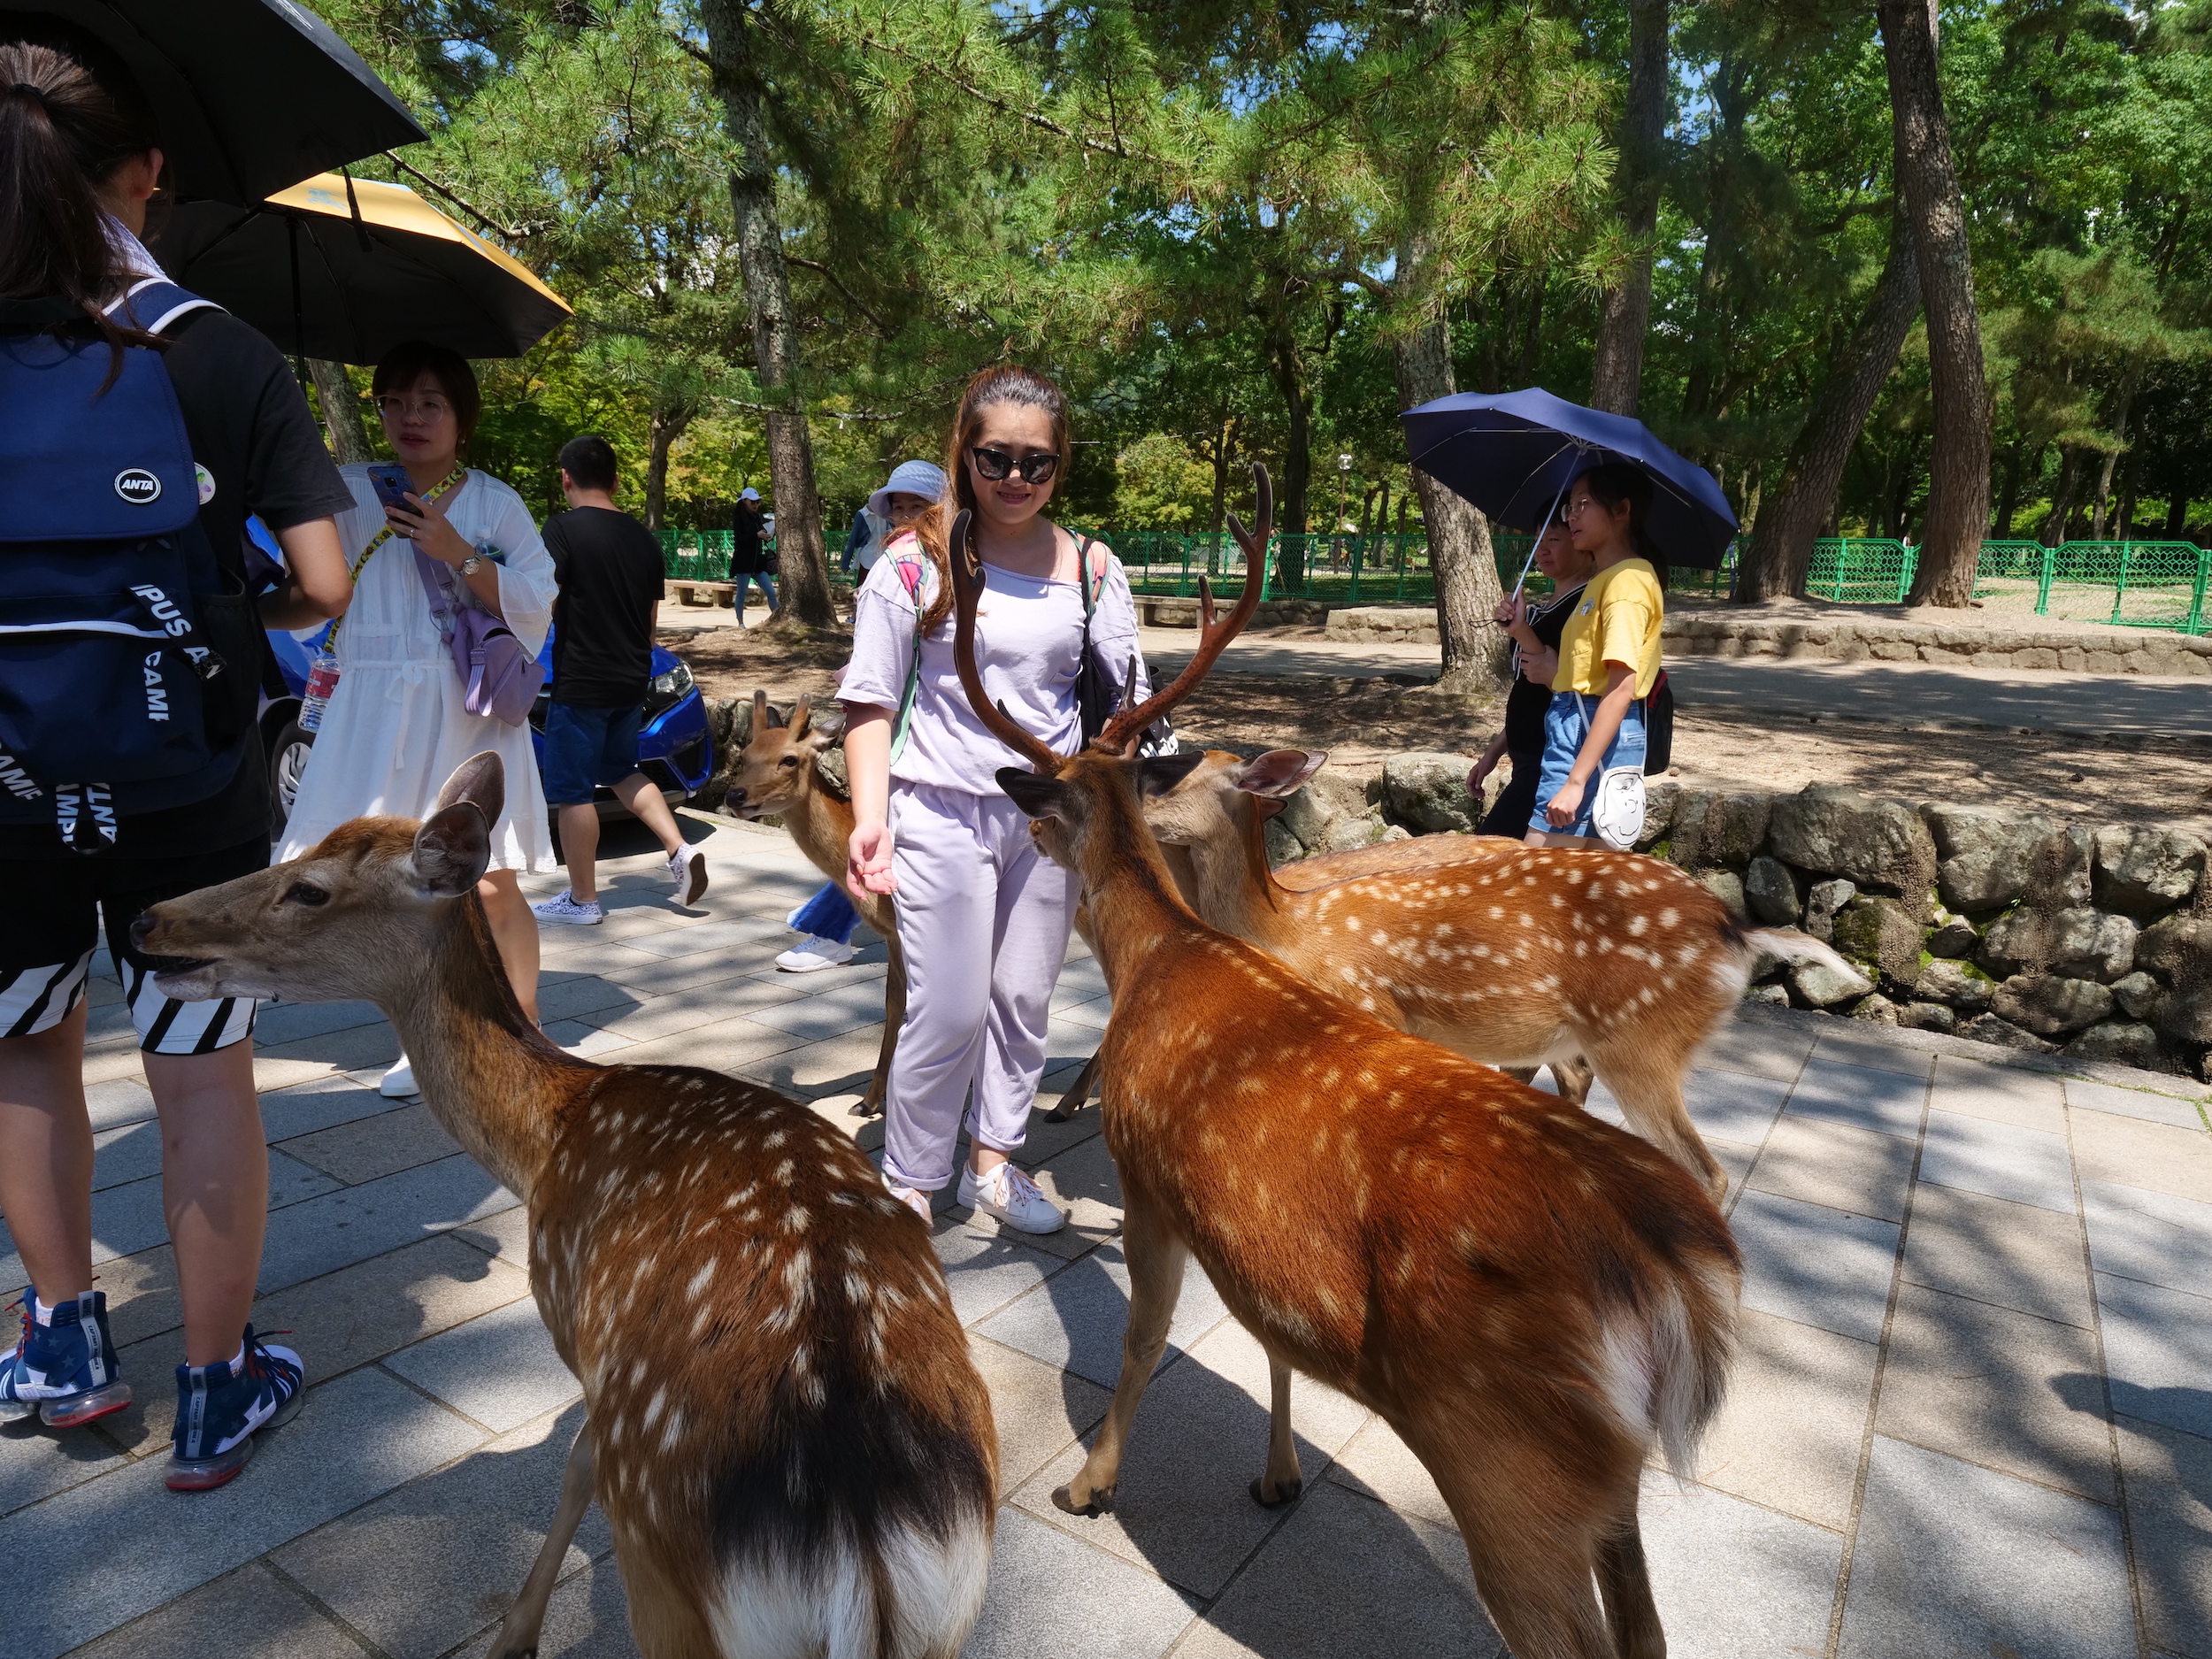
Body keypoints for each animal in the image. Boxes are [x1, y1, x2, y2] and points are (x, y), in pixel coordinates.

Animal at [135, 752, 995, 1659]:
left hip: (669, 1577)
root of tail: (862, 1543)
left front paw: (515, 1632)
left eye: (310, 888)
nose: (149, 916)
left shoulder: (574, 1320)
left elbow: (581, 1457)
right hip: (946, 1621)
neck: (546, 1140)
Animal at [721, 690, 902, 1119]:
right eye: (746, 754)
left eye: (789, 758)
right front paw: (868, 1102)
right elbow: (893, 1005)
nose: (734, 795)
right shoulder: (892, 935)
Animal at [951, 473, 1743, 1655]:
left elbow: (1141, 1339)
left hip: (1511, 1459)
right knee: (1646, 1630)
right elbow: (1271, 1338)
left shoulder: (1147, 1175)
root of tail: (1676, 1285)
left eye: (1053, 801)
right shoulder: (1251, 1242)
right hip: (1609, 1485)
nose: (1025, 825)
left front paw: (1089, 1482)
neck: (1168, 953)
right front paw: (1275, 1476)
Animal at [1124, 748, 1849, 1203]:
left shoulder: (1371, 1011)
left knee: (1709, 1173)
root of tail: (1740, 930)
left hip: (1640, 1039)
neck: (1291, 933)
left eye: (1166, 771)